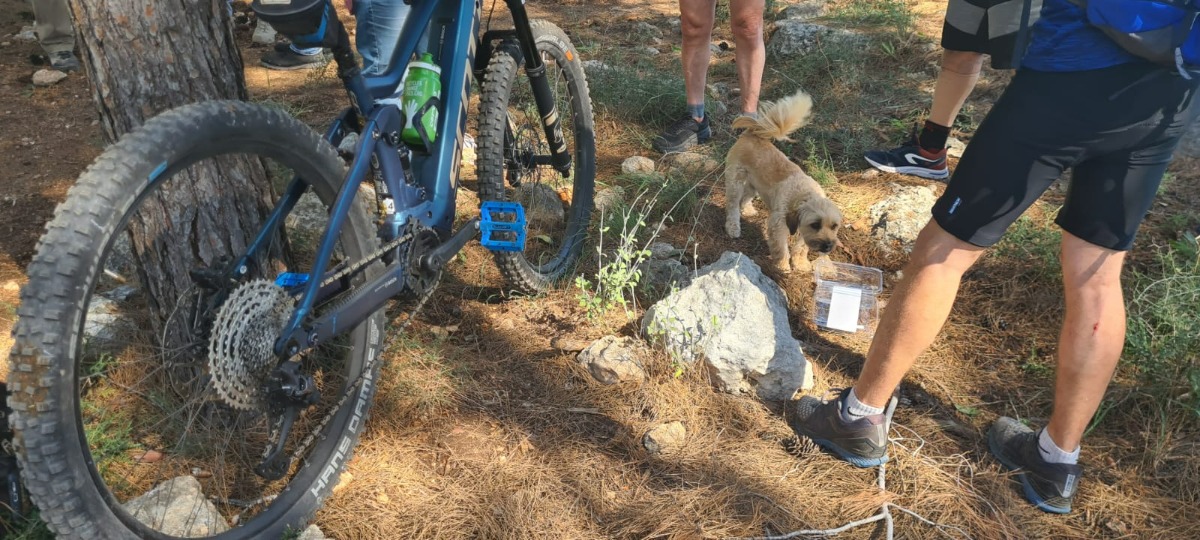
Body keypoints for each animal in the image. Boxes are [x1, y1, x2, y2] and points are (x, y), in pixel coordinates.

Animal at [720, 91, 844, 274]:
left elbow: (801, 247)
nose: (828, 246)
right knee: (733, 206)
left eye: (834, 226)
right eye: (815, 225)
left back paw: (748, 210)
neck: (804, 193)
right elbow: (781, 247)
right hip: (736, 182)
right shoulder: (777, 224)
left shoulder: (801, 230)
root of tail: (752, 133)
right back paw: (733, 227)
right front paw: (783, 265)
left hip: (753, 185)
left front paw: (800, 263)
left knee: (744, 200)